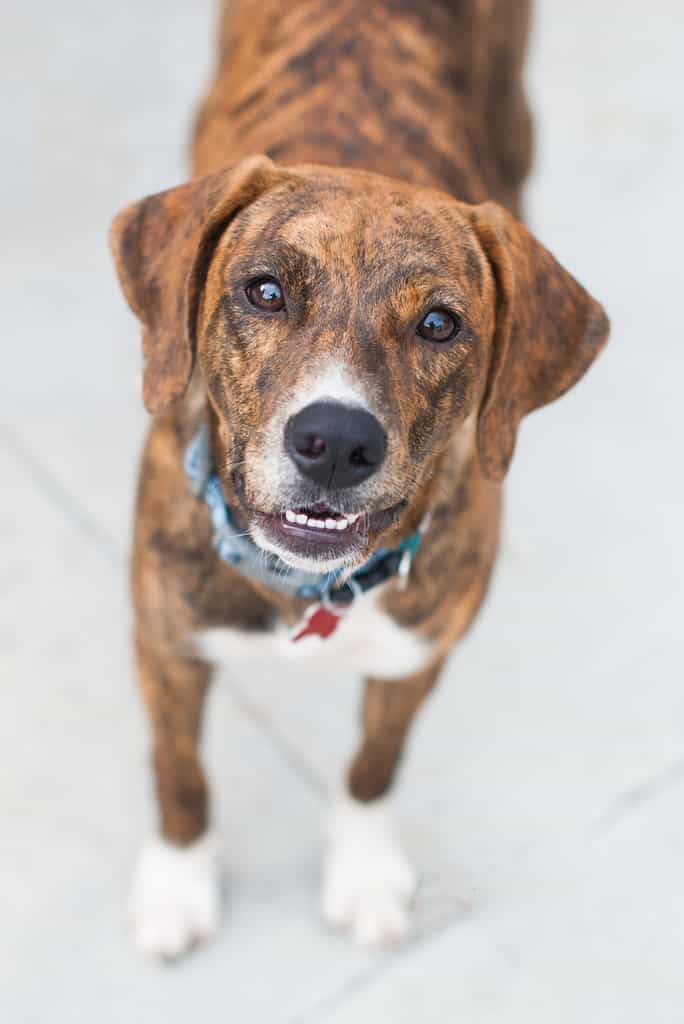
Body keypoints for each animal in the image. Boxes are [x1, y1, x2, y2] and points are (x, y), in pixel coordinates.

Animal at [108, 2, 610, 958]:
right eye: (264, 291)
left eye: (441, 324)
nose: (336, 442)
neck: (309, 590)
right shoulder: (167, 641)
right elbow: (178, 770)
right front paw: (177, 884)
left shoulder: (419, 653)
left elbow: (376, 765)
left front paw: (366, 872)